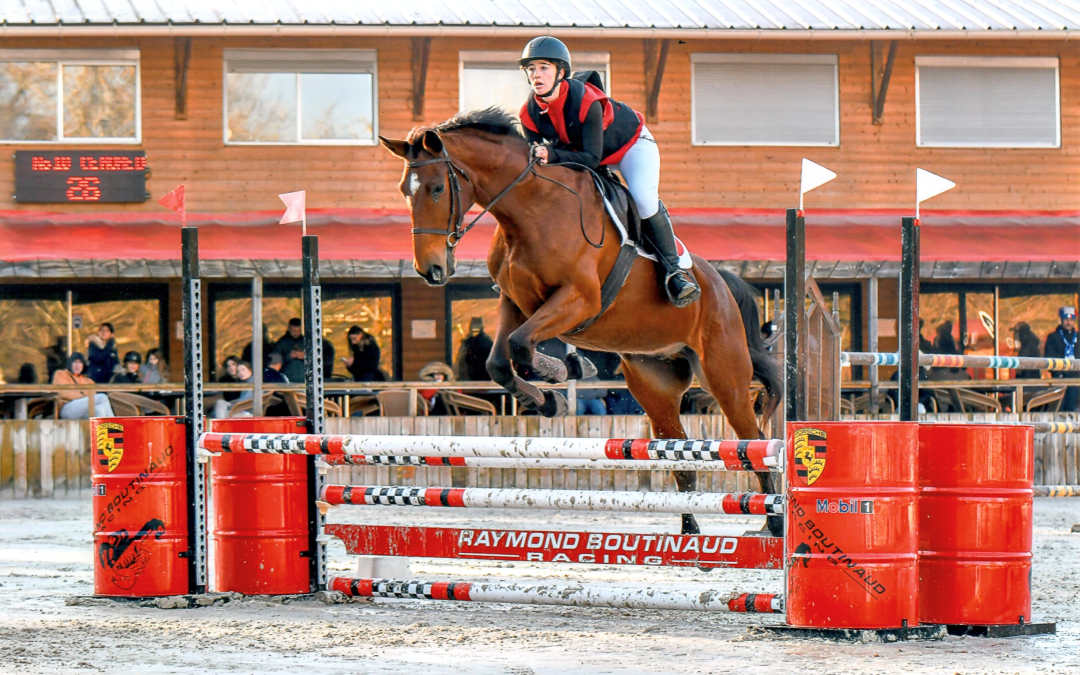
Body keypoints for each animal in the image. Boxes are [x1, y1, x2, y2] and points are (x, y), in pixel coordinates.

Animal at [380, 108, 783, 536]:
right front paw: (551, 397)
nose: (430, 270)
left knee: (753, 440)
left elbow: (521, 346)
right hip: (655, 385)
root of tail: (720, 282)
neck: (530, 209)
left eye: (437, 188)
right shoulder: (514, 302)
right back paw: (690, 535)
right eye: (405, 190)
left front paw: (562, 372)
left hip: (724, 376)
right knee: (680, 456)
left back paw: (773, 523)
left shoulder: (578, 299)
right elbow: (500, 361)